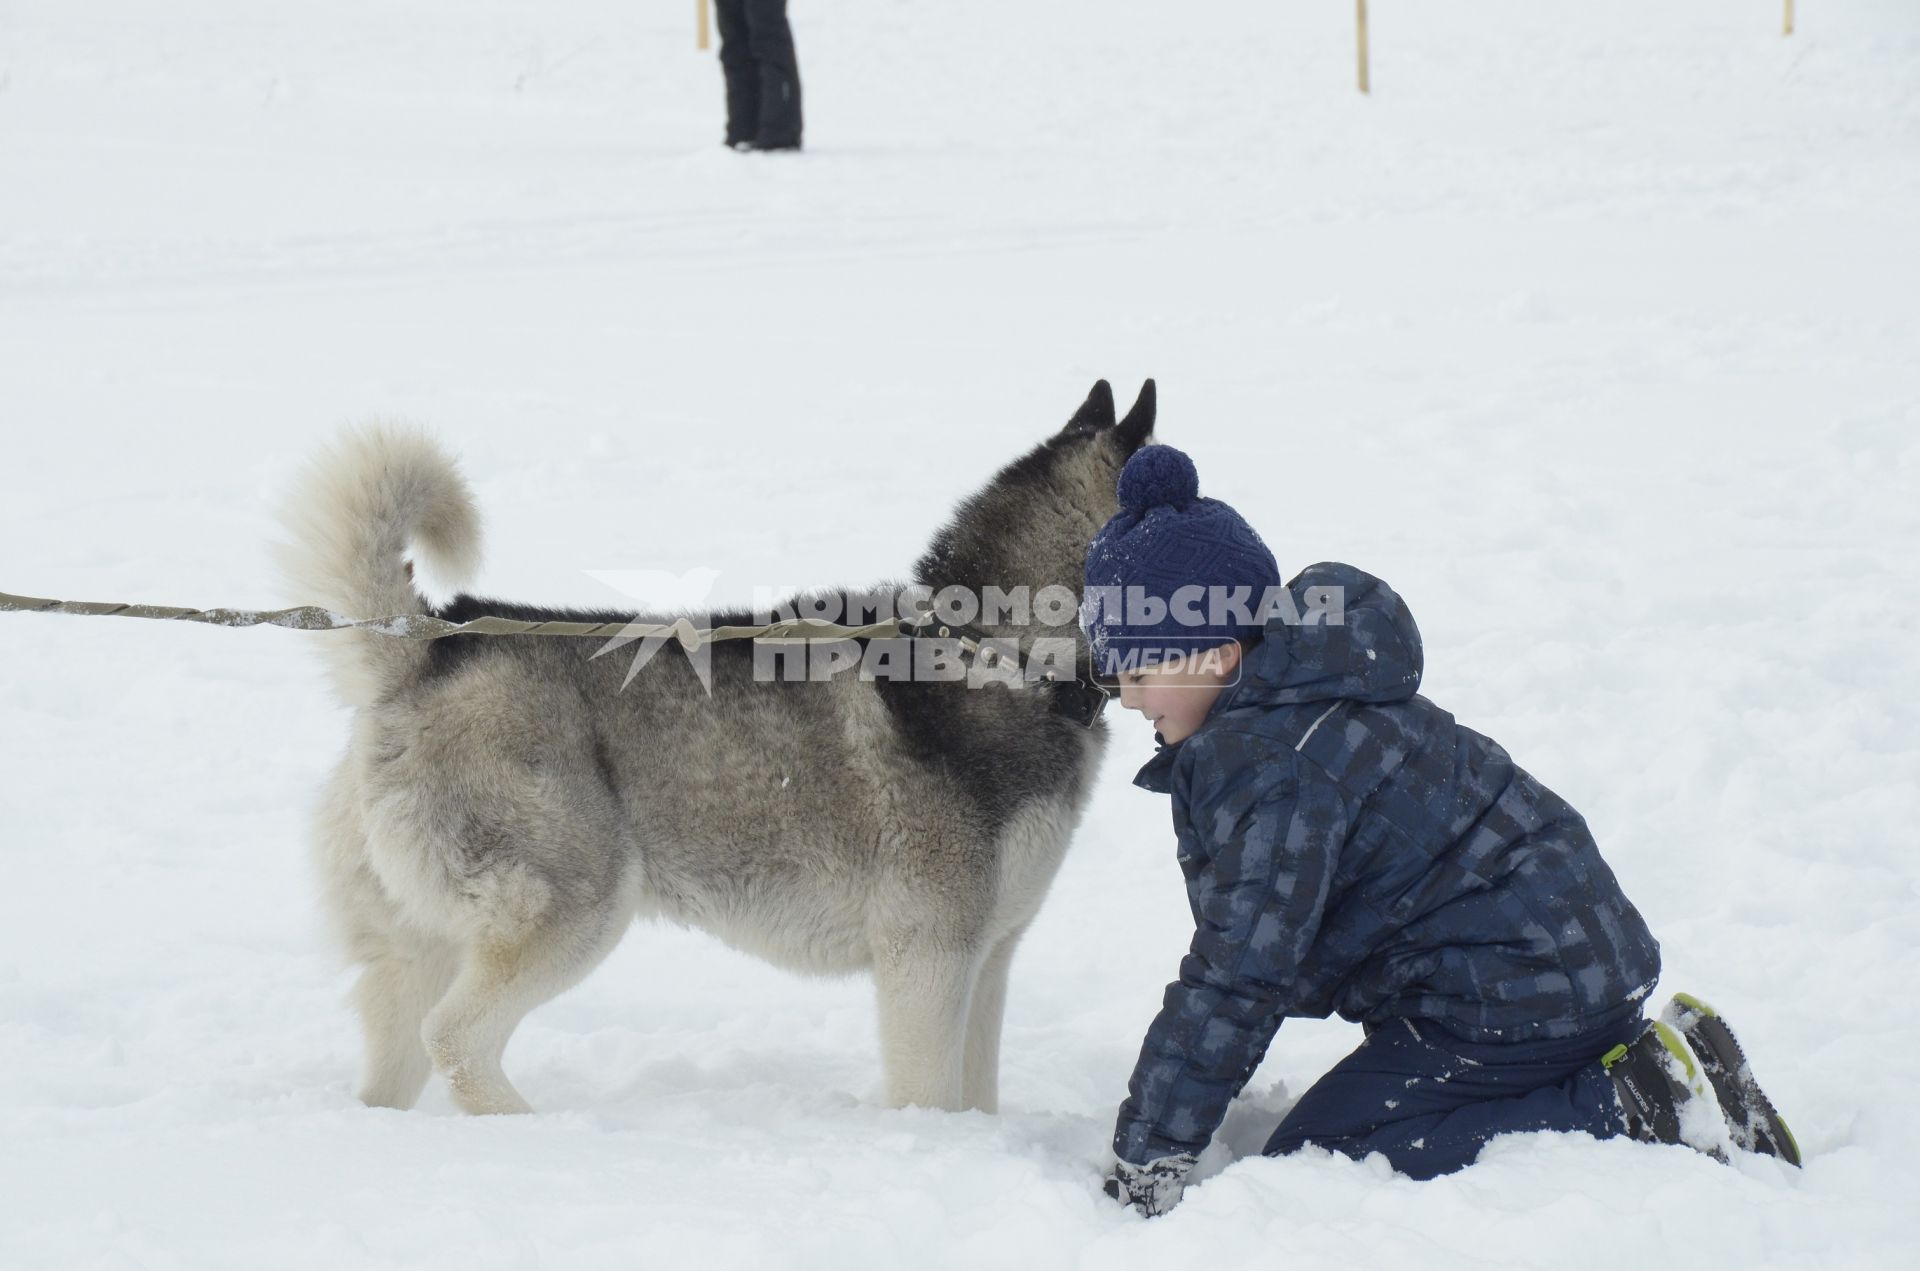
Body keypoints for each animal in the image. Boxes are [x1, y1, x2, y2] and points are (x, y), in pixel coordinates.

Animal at [276, 378, 1152, 1113]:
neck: (1003, 657)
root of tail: (427, 644)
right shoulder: (928, 956)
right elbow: (930, 1100)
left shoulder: (990, 955)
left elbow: (979, 1099)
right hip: (581, 903)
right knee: (455, 1037)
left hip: (425, 939)